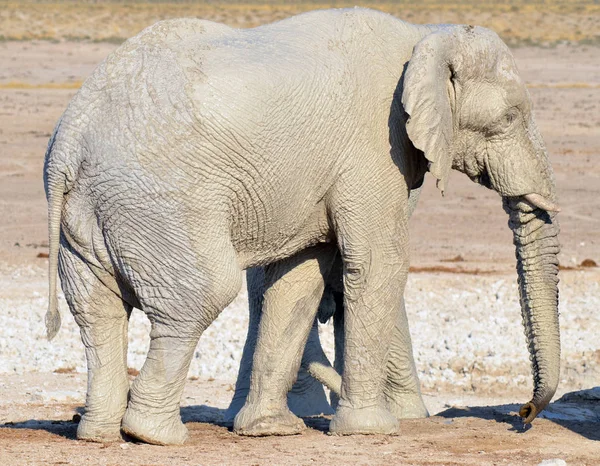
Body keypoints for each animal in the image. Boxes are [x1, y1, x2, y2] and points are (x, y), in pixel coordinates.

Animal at [44, 6, 560, 444]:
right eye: (510, 116)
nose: (523, 416)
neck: (427, 34)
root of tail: (68, 140)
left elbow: (297, 280)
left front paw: (270, 430)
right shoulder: (376, 145)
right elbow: (379, 265)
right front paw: (370, 431)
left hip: (91, 210)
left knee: (98, 313)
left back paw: (98, 433)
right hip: (161, 202)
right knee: (203, 294)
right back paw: (153, 435)